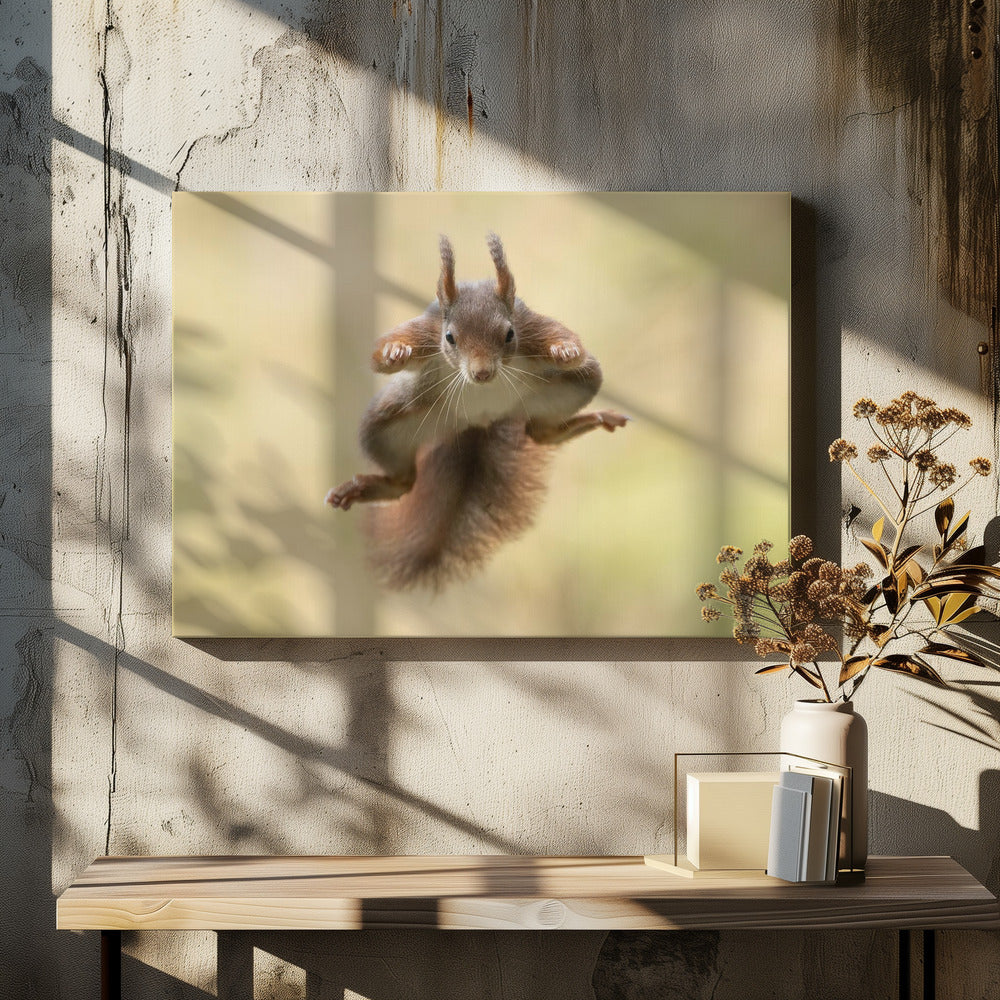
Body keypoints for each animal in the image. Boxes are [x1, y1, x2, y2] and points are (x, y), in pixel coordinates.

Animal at [325, 232, 628, 589]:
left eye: (509, 334)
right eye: (449, 337)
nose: (482, 374)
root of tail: (478, 423)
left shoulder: (530, 326)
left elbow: (569, 344)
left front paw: (564, 350)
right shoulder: (425, 330)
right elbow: (380, 357)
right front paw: (395, 351)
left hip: (576, 385)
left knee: (541, 431)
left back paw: (592, 419)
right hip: (387, 425)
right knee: (403, 480)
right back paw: (359, 489)